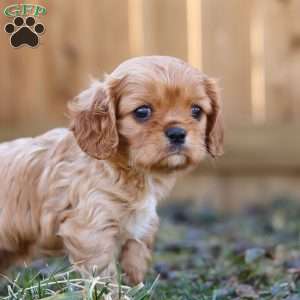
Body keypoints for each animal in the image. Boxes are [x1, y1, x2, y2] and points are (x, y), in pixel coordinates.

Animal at [0, 55, 223, 284]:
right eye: (142, 112)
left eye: (196, 111)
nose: (178, 133)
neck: (127, 170)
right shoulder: (91, 229)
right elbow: (103, 274)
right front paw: (112, 291)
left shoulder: (141, 227)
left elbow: (135, 262)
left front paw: (137, 287)